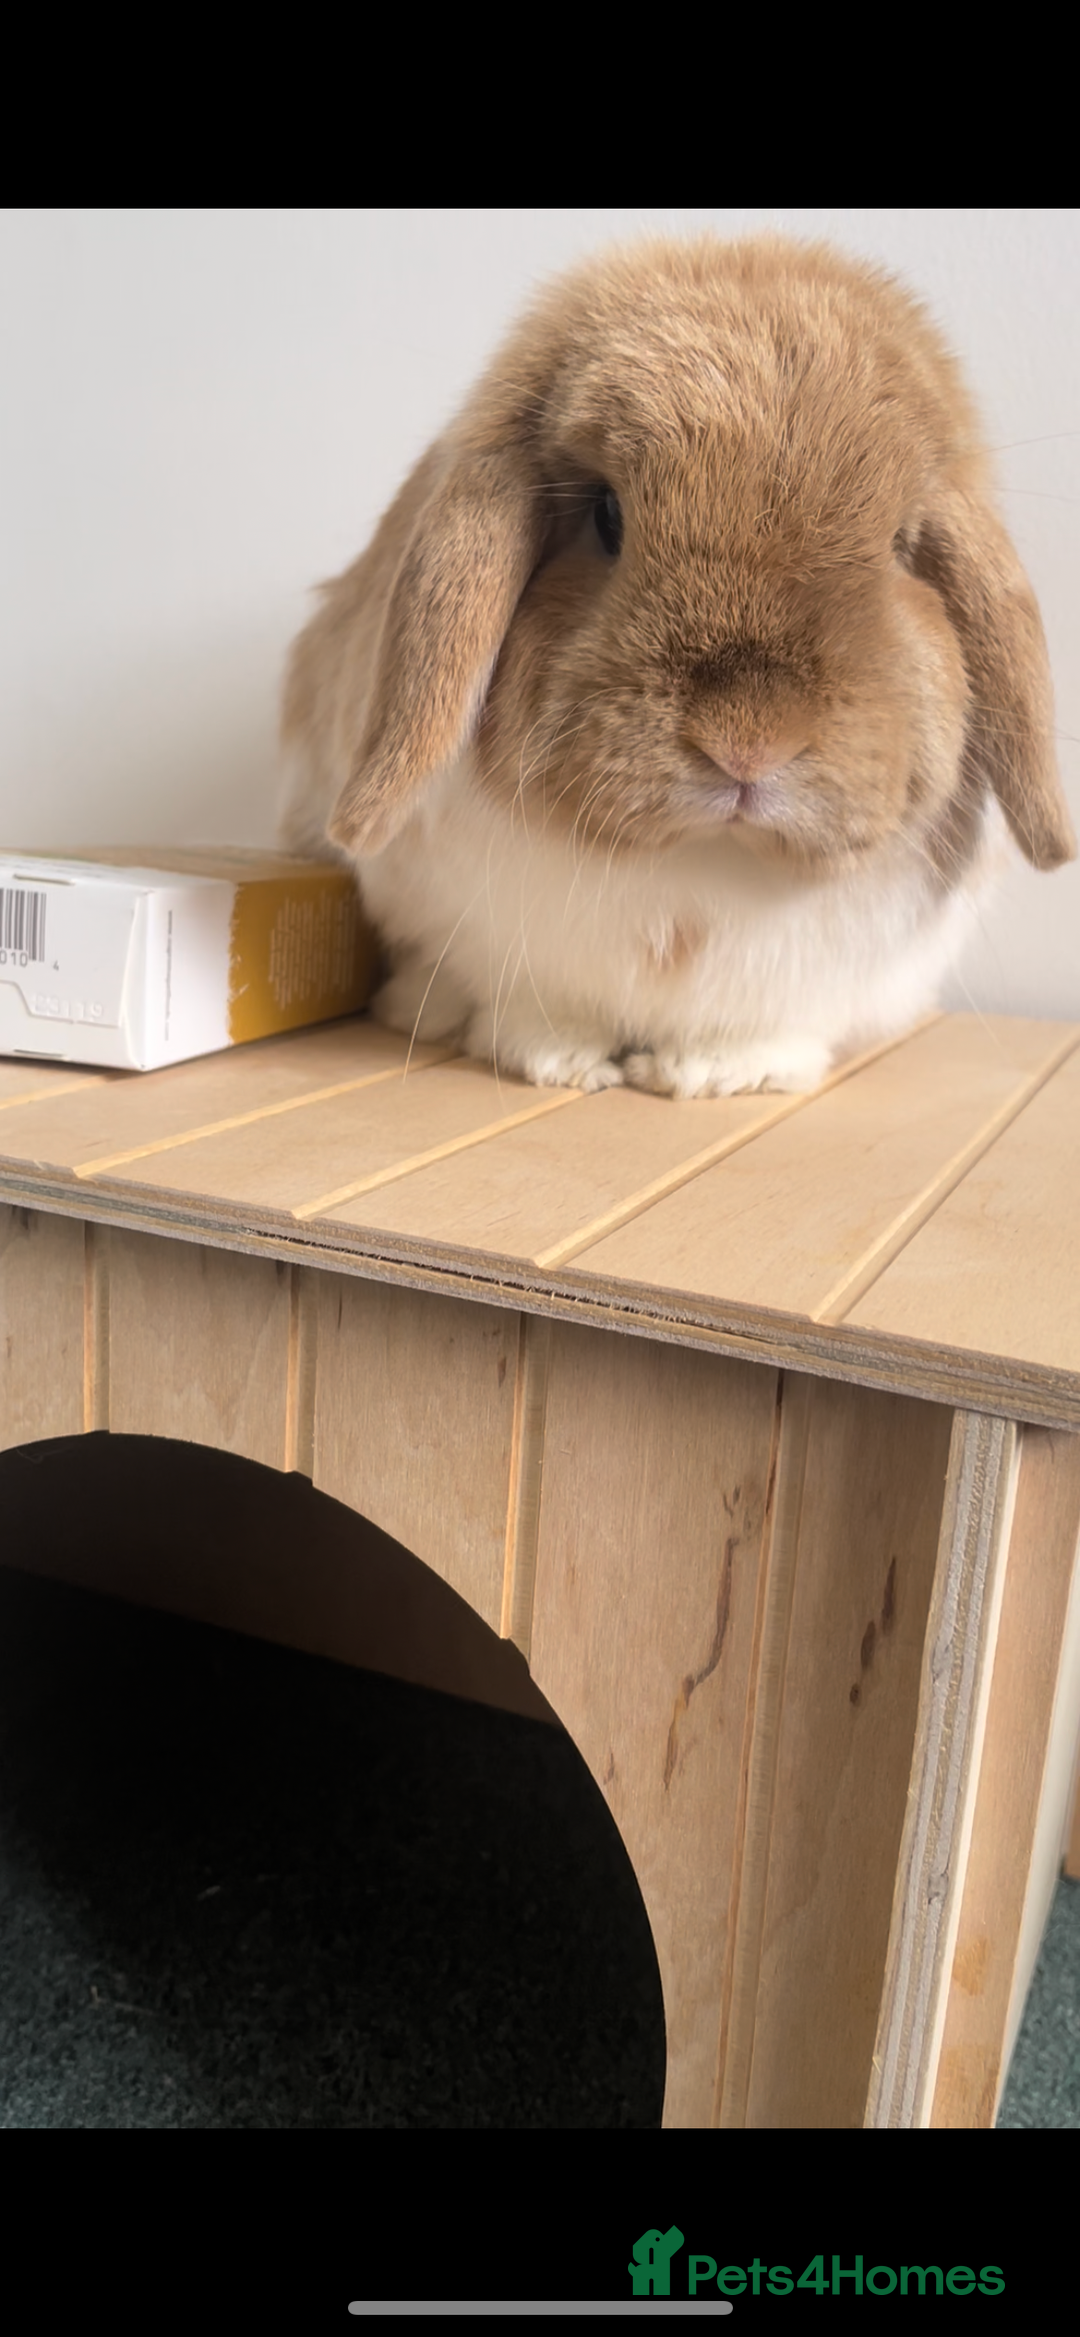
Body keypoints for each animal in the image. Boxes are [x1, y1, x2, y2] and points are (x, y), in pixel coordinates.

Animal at [279, 234, 1075, 1098]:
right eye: (605, 514)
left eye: (899, 546)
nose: (747, 741)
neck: (703, 866)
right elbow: (538, 1010)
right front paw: (563, 1063)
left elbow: (756, 1035)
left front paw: (715, 1076)